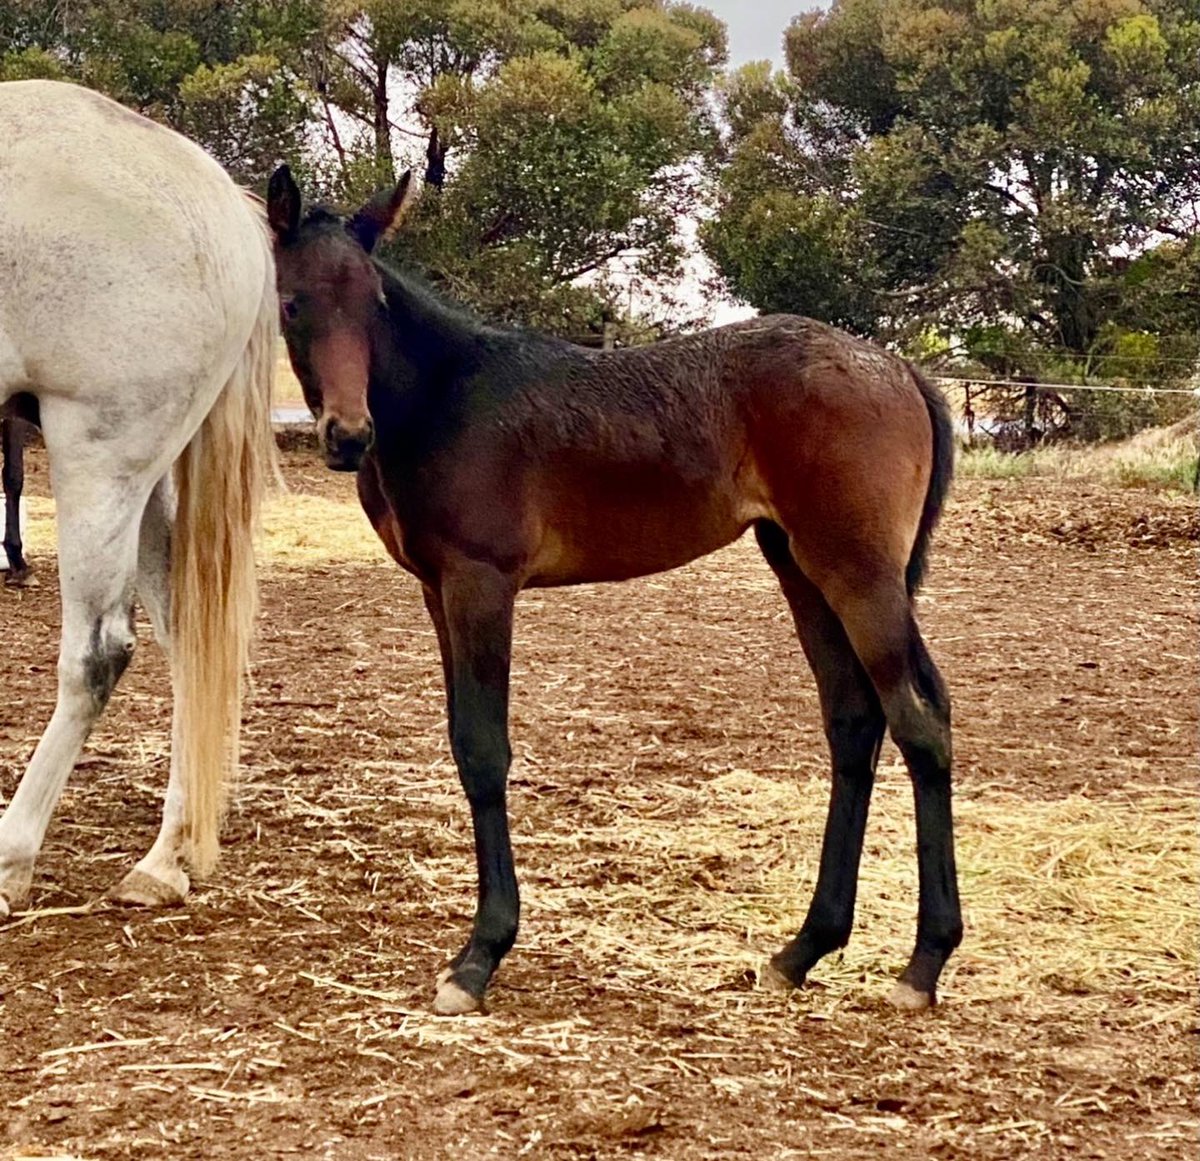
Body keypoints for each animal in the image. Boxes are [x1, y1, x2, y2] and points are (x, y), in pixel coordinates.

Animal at [0, 80, 278, 918]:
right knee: (187, 637)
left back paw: (12, 854)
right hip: (143, 479)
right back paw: (167, 855)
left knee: (97, 655)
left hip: (99, 459)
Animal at [267, 165, 962, 1017]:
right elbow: (462, 741)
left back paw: (922, 965)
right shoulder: (438, 591)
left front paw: (479, 955)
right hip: (802, 567)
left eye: (373, 301)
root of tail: (903, 371)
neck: (447, 395)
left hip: (857, 573)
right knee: (855, 721)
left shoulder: (480, 583)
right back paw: (802, 949)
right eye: (294, 301)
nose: (347, 434)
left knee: (919, 725)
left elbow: (483, 751)